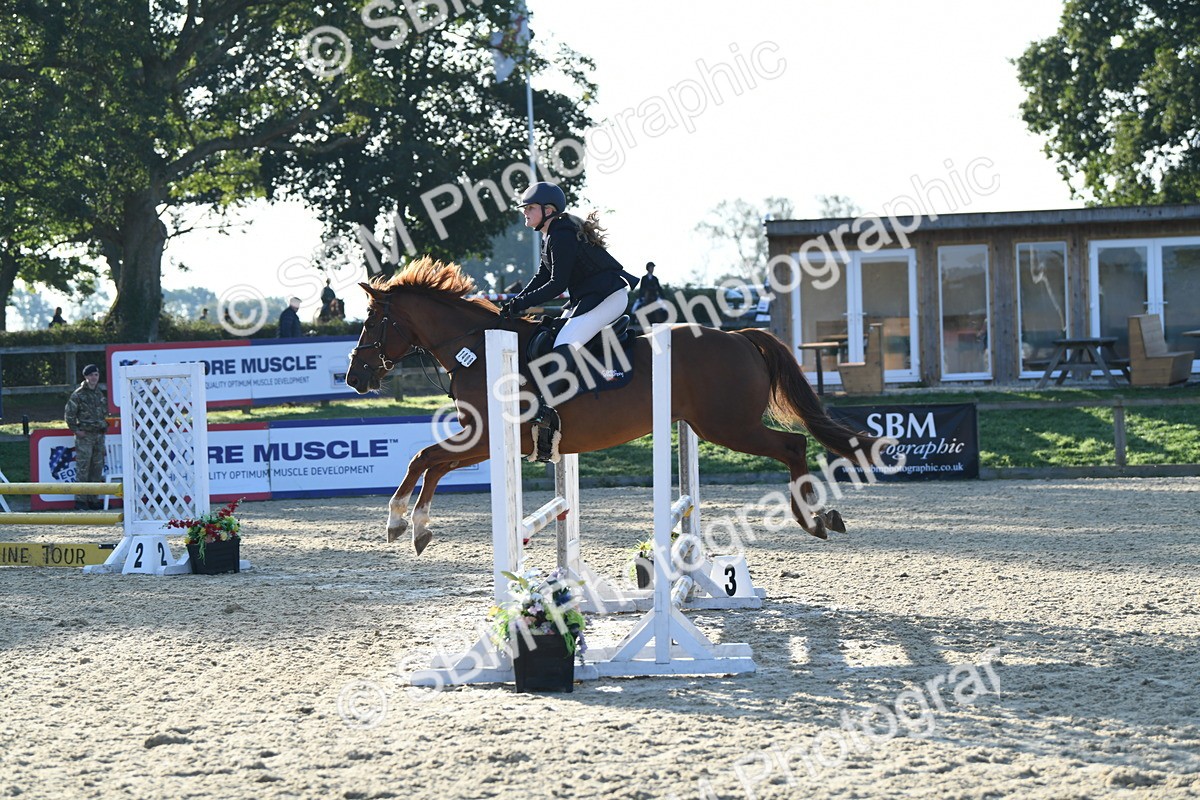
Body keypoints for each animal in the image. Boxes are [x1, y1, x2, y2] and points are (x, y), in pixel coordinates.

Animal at [345, 257, 876, 555]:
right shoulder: (485, 439)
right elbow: (430, 463)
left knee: (793, 446)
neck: (475, 346)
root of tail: (739, 336)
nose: (355, 377)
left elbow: (423, 458)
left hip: (729, 426)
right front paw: (415, 528)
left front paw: (399, 521)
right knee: (795, 446)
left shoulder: (490, 436)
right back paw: (823, 518)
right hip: (720, 425)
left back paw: (815, 520)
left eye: (372, 322)